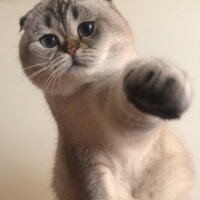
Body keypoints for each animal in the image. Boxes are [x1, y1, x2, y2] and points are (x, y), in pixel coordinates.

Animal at [18, 0, 194, 200]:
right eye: (49, 41)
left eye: (86, 29)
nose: (71, 49)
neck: (86, 94)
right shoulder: (87, 160)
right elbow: (99, 193)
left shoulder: (129, 127)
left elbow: (131, 101)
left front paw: (158, 84)